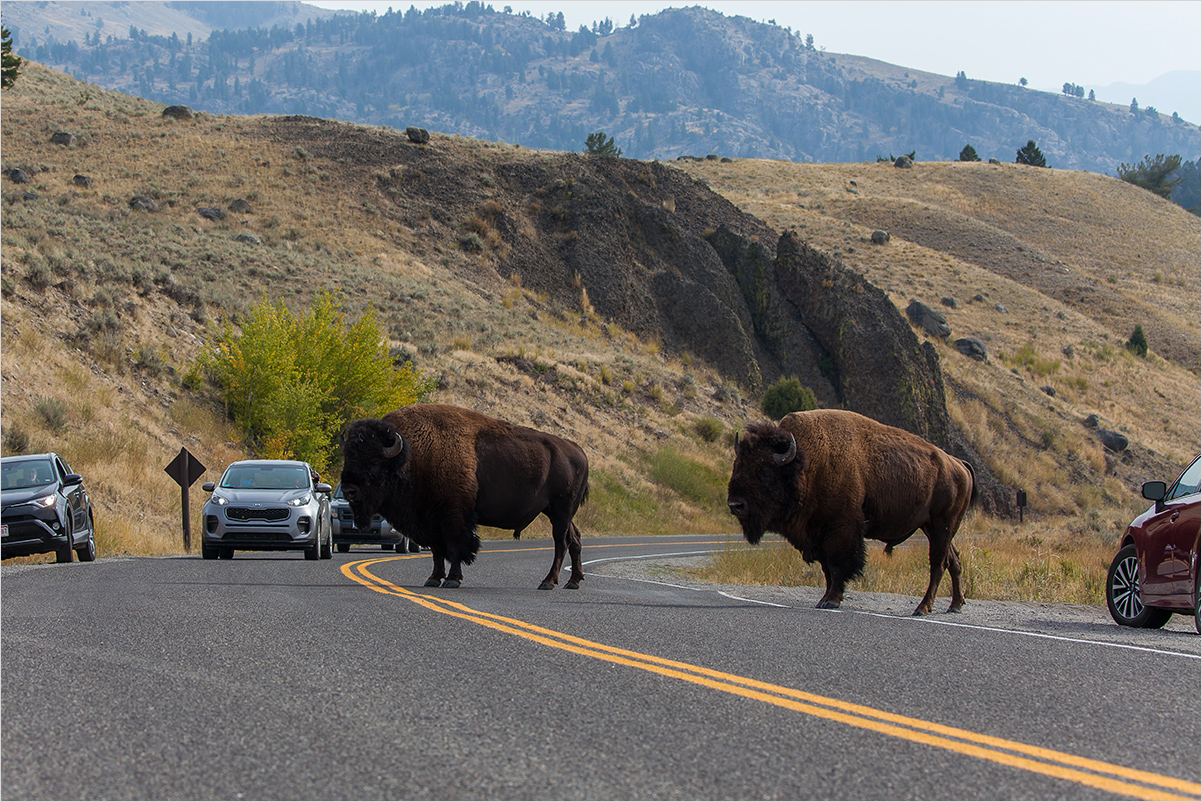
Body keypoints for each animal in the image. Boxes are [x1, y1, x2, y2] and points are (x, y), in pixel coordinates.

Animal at [341, 408, 588, 589]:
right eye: (348, 457)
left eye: (373, 463)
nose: (347, 490)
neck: (412, 455)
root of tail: (577, 450)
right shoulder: (430, 519)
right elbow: (437, 551)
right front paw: (433, 579)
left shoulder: (453, 516)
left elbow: (454, 547)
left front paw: (452, 579)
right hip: (556, 511)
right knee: (574, 538)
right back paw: (573, 581)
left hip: (561, 509)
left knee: (561, 542)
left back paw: (548, 582)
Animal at [721, 411, 976, 620]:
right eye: (737, 465)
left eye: (764, 471)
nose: (735, 504)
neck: (807, 463)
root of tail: (959, 463)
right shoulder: (817, 534)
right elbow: (827, 569)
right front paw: (825, 598)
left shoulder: (840, 530)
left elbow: (837, 565)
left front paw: (831, 600)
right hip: (932, 527)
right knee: (953, 560)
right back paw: (955, 605)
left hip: (942, 525)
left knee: (938, 564)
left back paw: (922, 608)